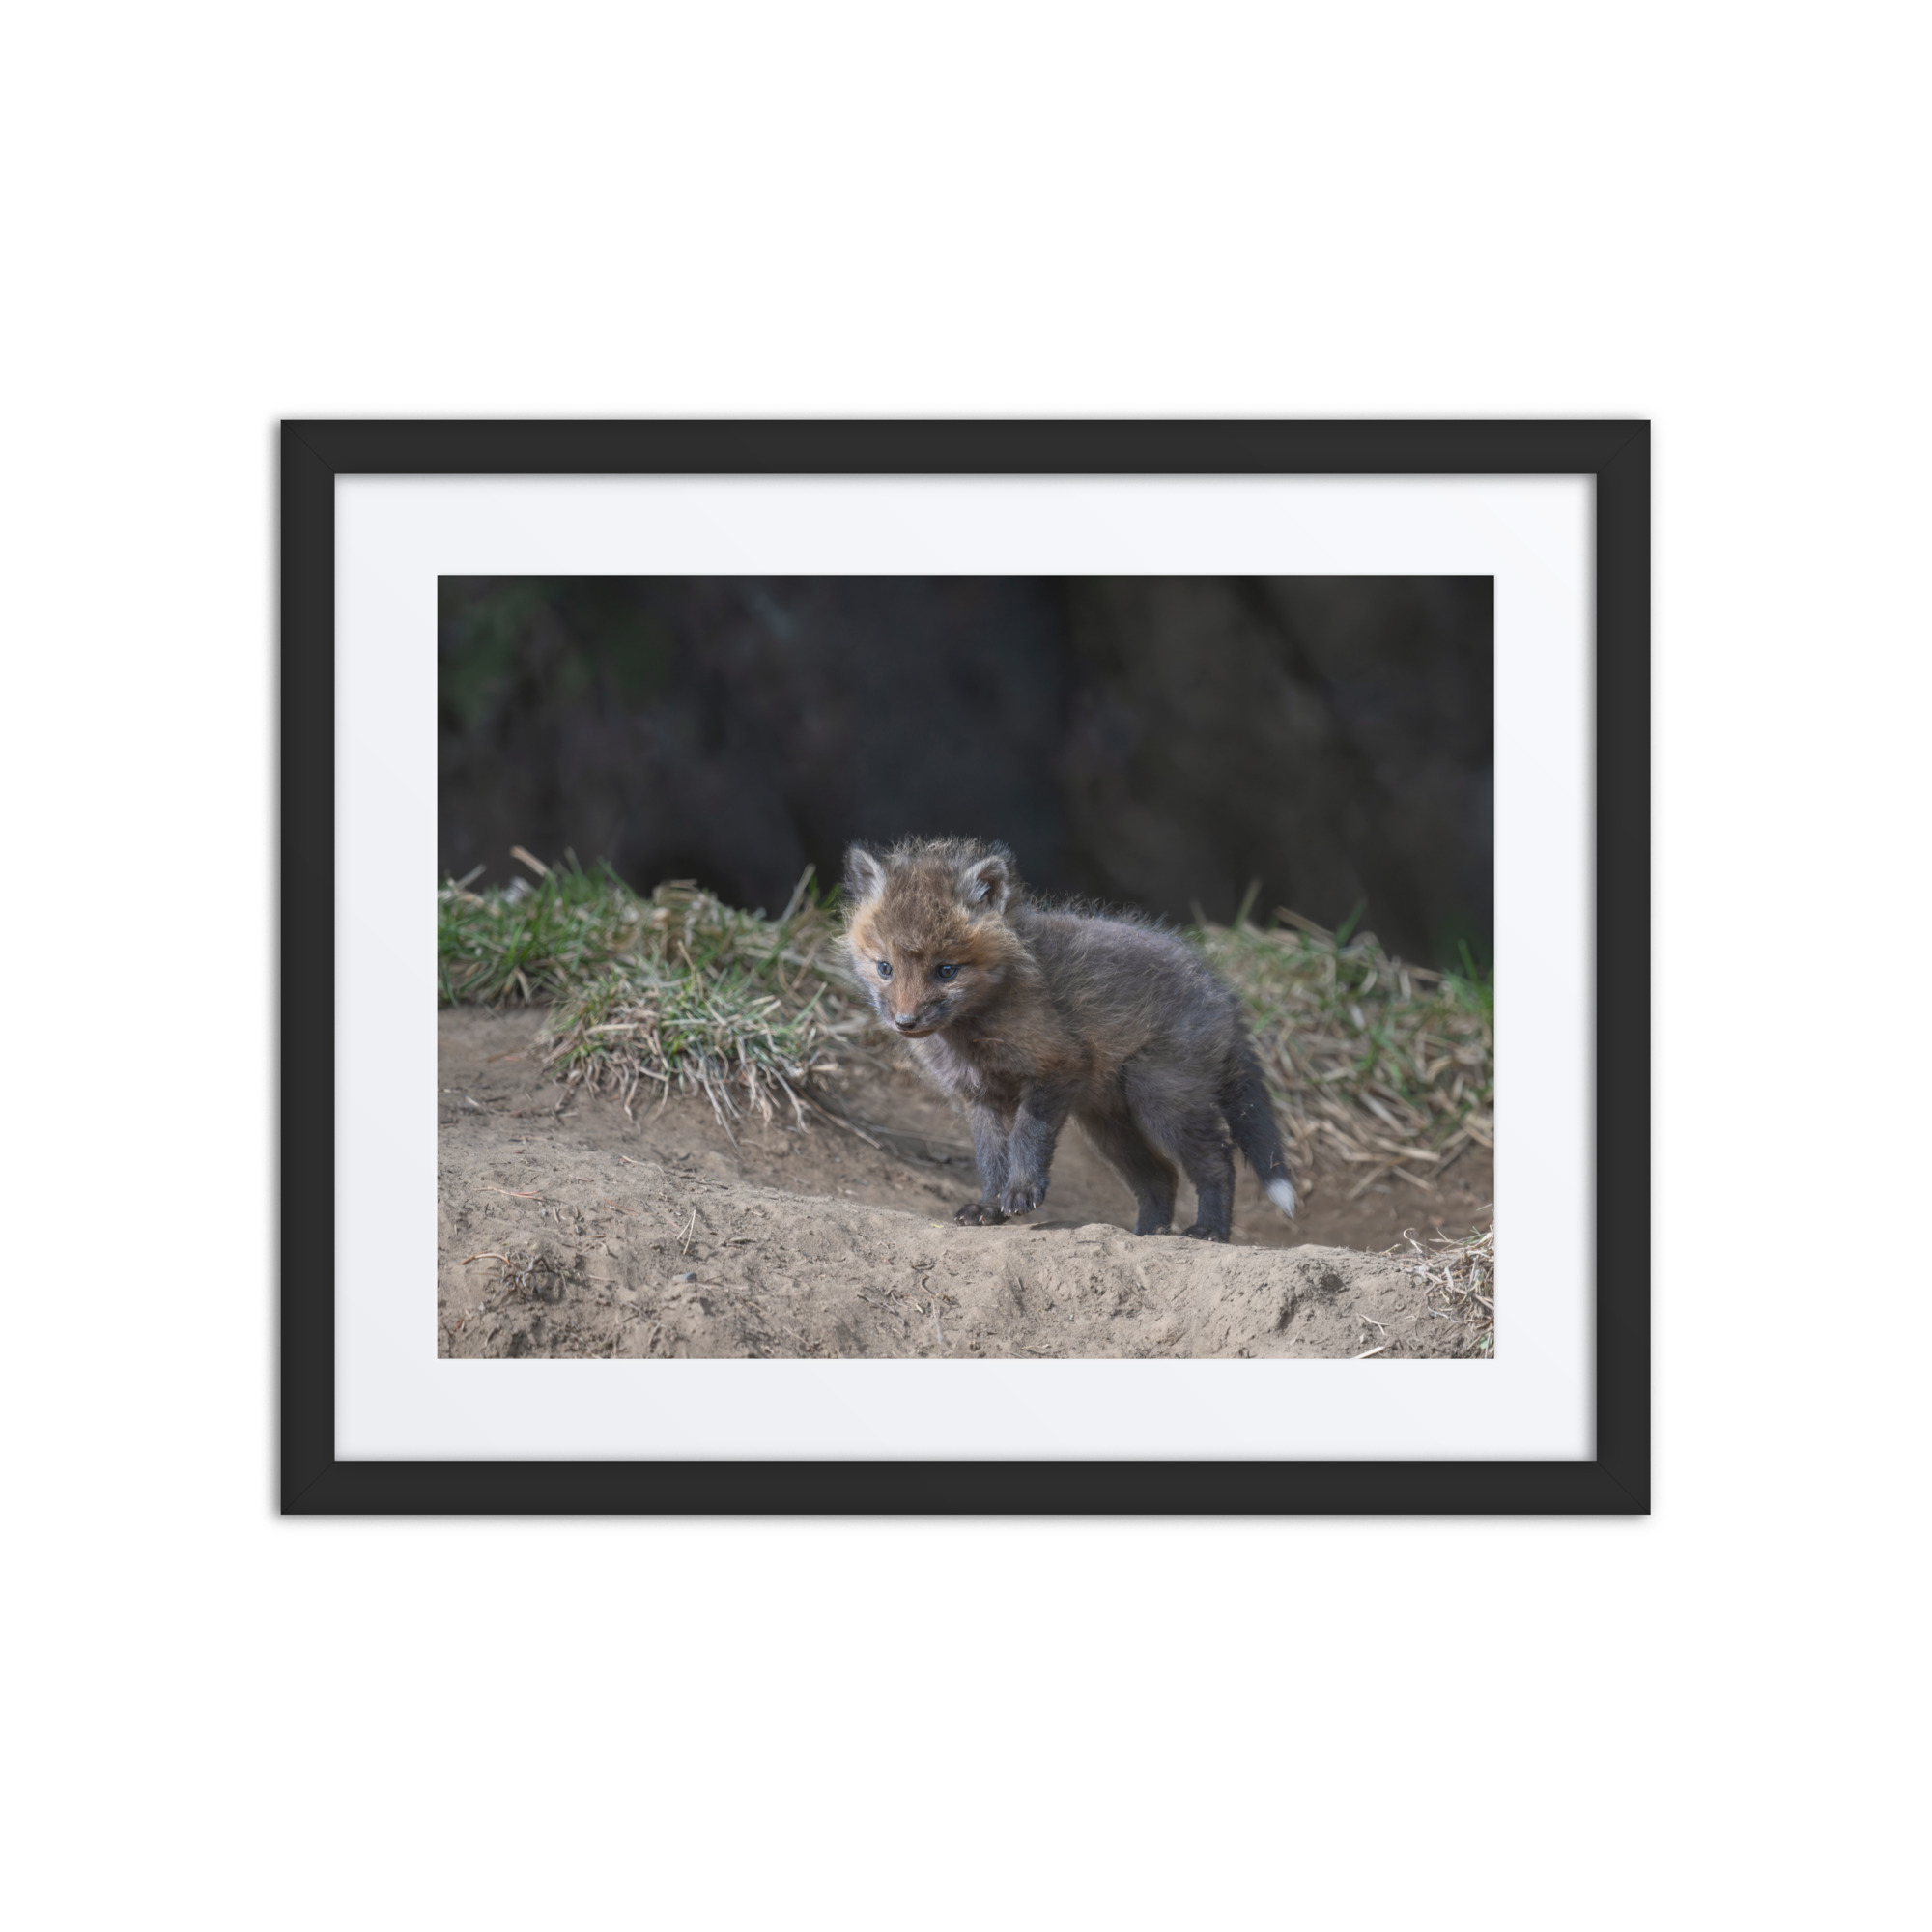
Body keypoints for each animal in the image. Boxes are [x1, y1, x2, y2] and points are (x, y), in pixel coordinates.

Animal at [842, 837, 1298, 1242]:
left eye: (946, 970)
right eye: (885, 968)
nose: (905, 1022)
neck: (972, 1035)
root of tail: (1221, 991)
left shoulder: (1057, 1066)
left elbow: (1027, 1136)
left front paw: (1022, 1192)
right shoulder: (979, 1097)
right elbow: (991, 1159)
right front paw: (989, 1207)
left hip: (1162, 1102)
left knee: (1218, 1161)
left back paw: (1209, 1231)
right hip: (1109, 1125)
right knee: (1162, 1177)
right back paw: (1147, 1234)